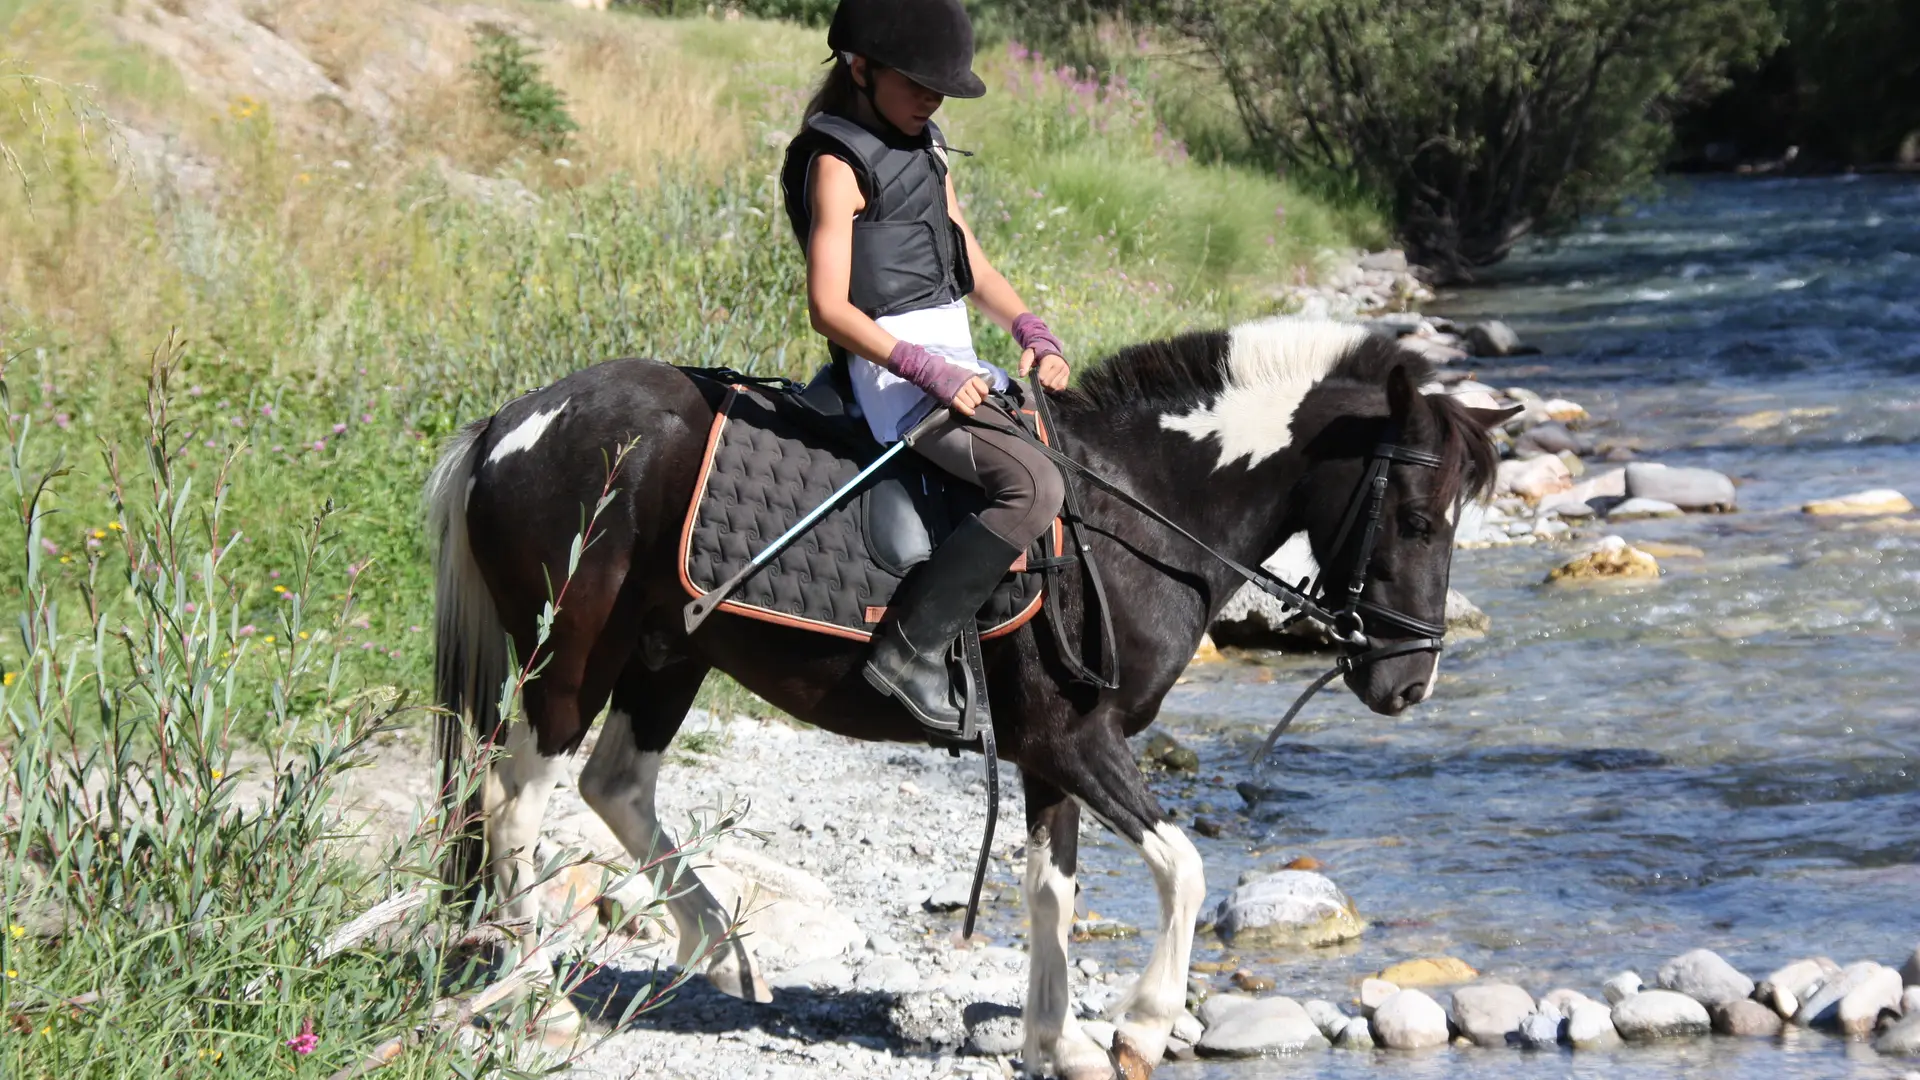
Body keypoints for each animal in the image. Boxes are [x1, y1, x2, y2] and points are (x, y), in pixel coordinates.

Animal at [426, 317, 1508, 1078]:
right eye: (1418, 517)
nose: (1410, 680)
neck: (1132, 513)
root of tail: (512, 425)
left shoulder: (1045, 754)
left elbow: (1052, 892)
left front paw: (1059, 1043)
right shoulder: (1078, 741)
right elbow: (1185, 870)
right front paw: (1139, 1030)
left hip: (667, 653)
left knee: (614, 786)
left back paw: (722, 949)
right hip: (571, 654)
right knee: (513, 802)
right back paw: (543, 996)